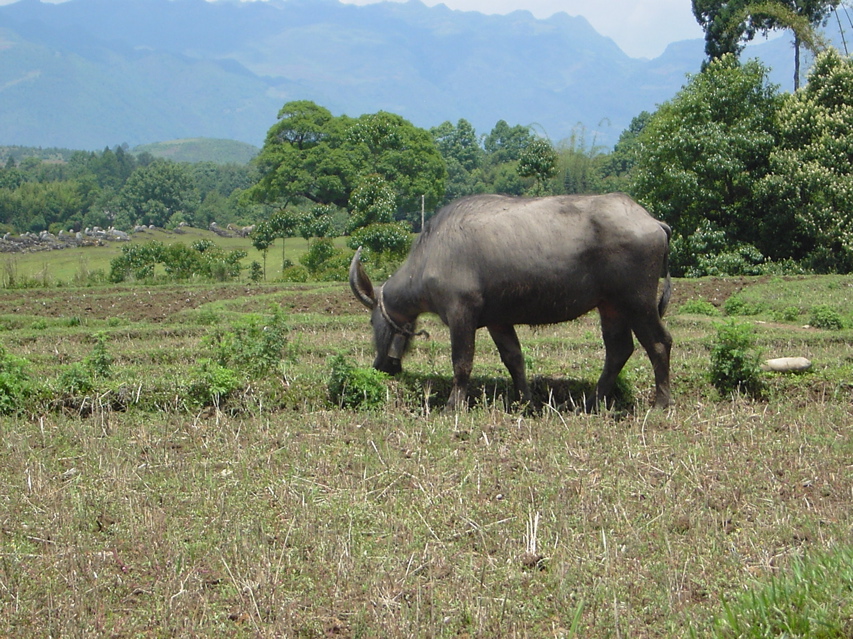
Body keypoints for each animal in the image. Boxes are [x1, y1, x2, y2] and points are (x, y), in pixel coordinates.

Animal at [349, 193, 673, 411]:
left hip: (637, 301)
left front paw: (454, 405)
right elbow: (514, 358)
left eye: (371, 321)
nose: (381, 366)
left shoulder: (461, 313)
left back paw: (661, 403)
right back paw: (590, 402)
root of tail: (653, 221)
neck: (431, 254)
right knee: (619, 350)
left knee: (659, 343)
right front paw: (526, 400)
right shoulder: (498, 321)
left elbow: (462, 362)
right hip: (611, 306)